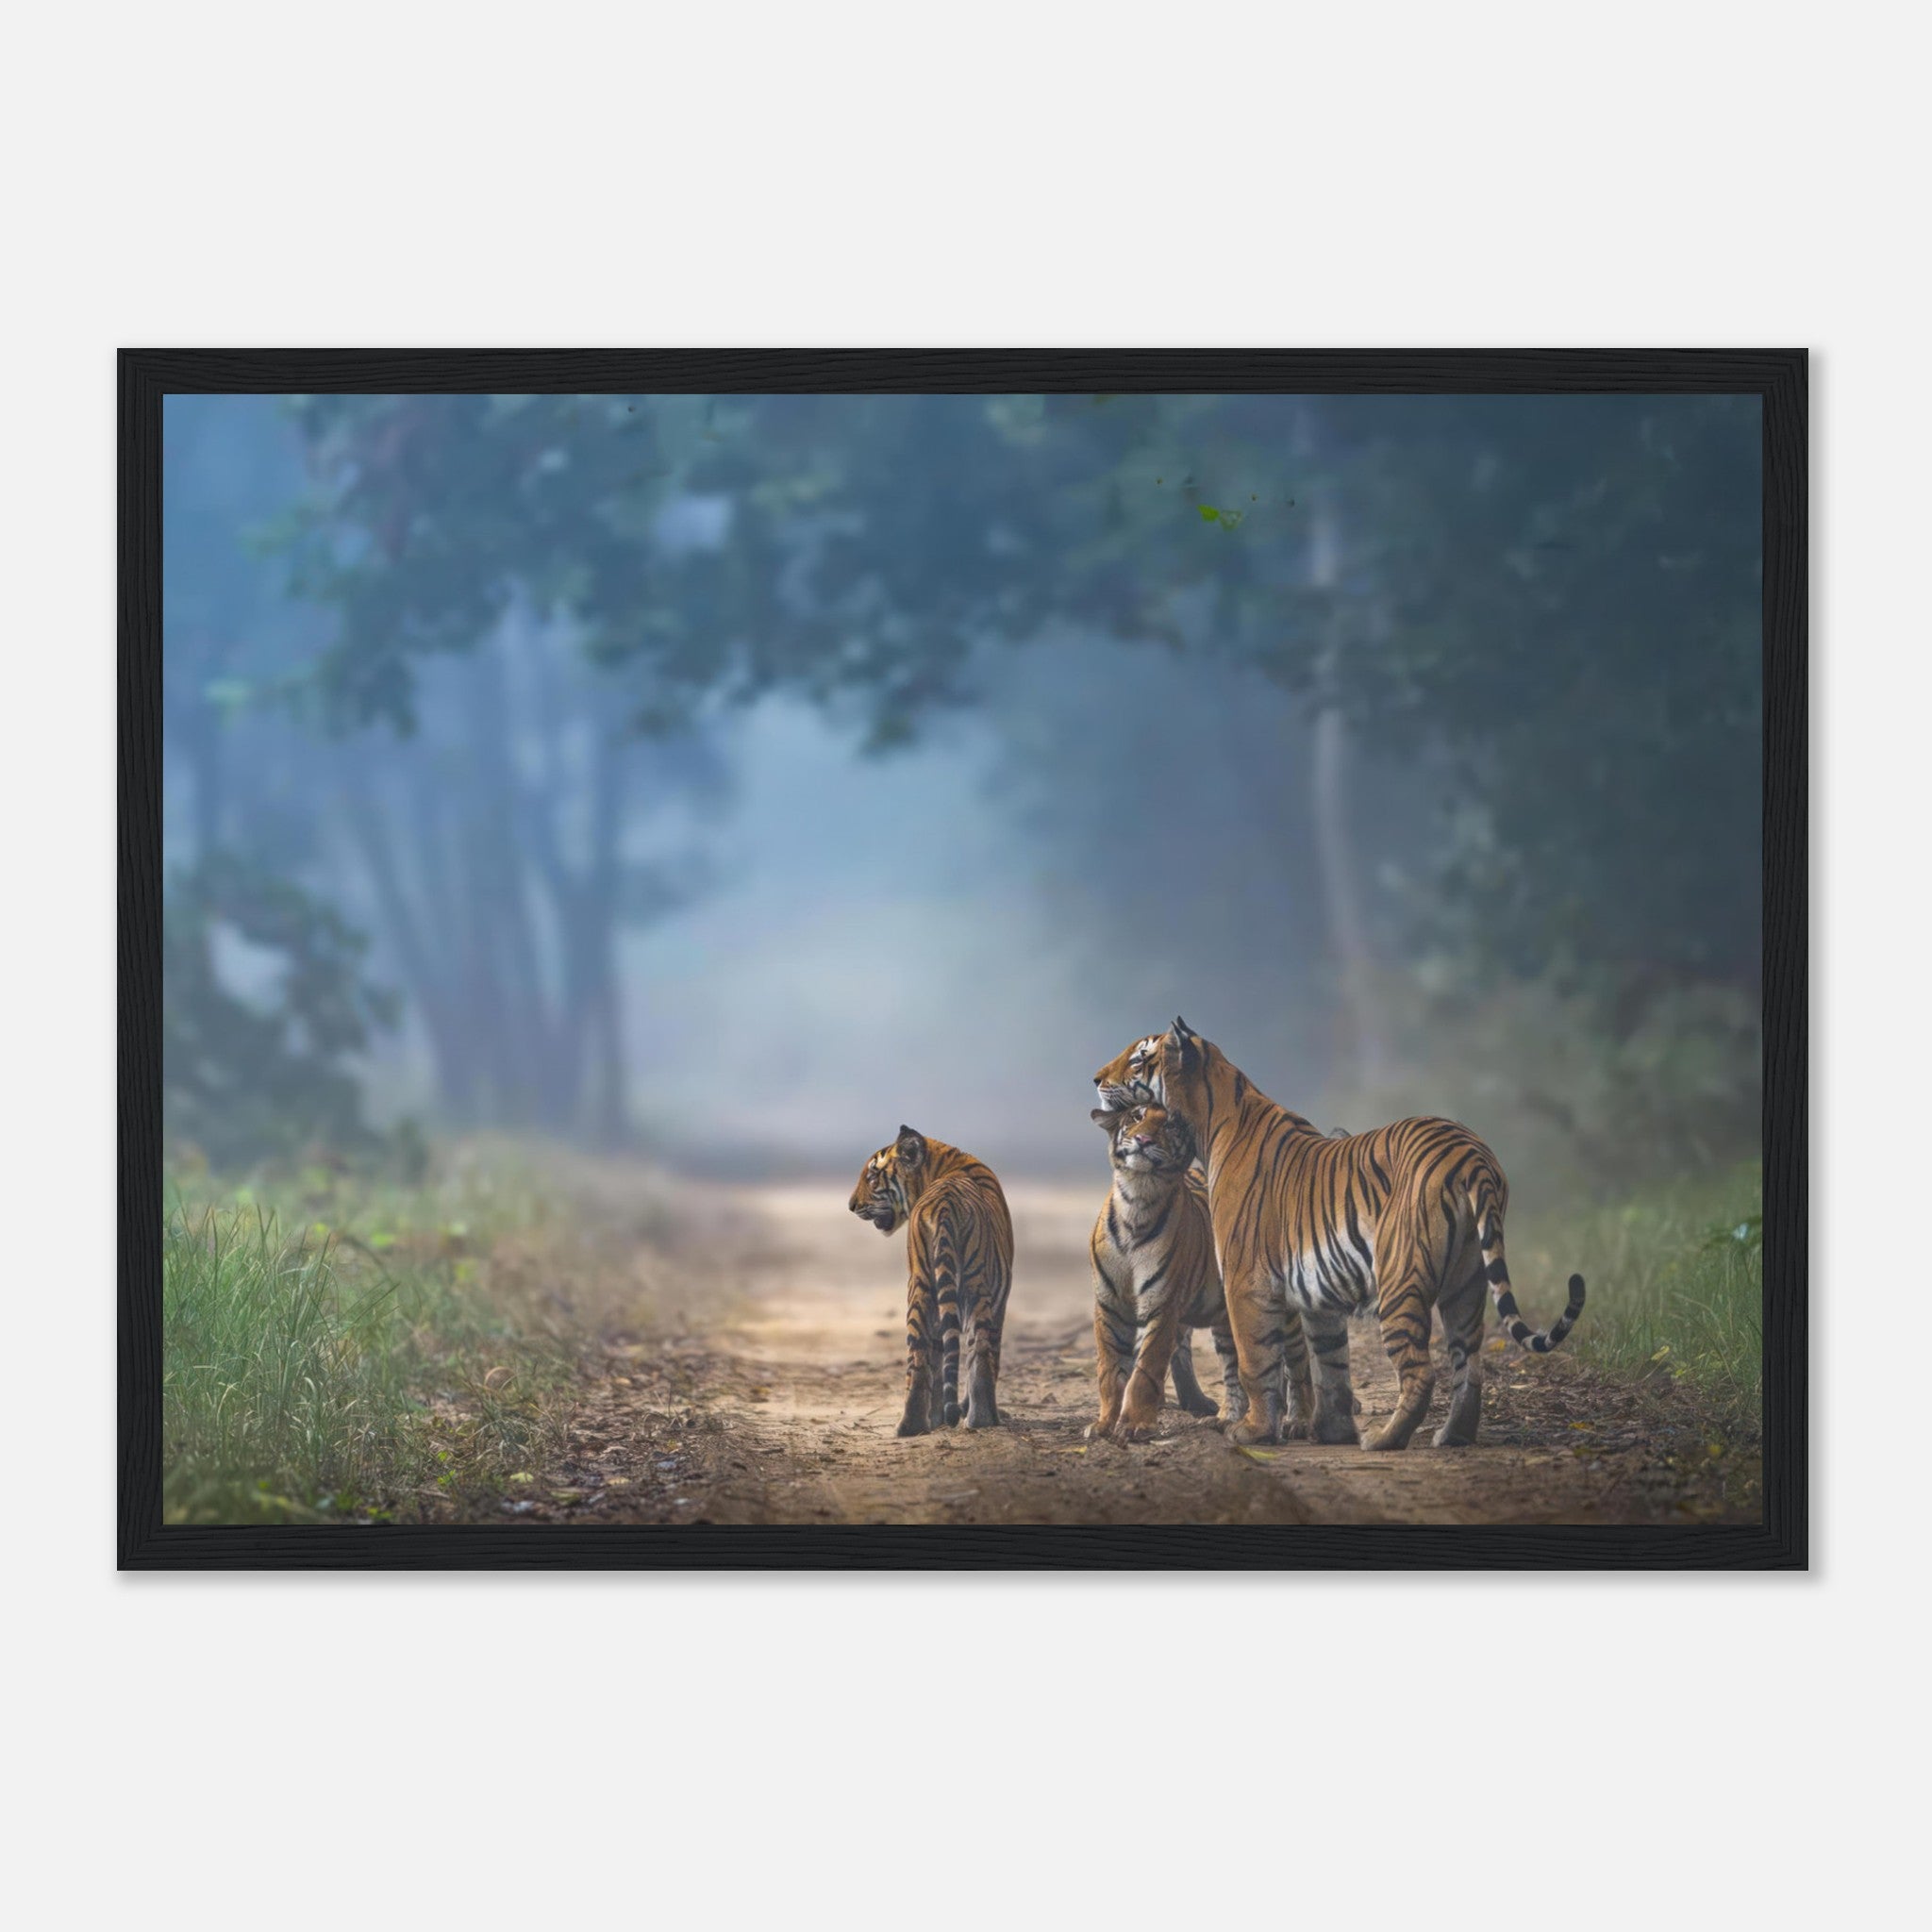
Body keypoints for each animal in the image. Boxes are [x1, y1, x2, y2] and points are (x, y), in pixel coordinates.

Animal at [848, 1125, 1014, 1437]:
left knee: (922, 1355)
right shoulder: (1000, 1300)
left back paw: (912, 1426)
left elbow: (941, 1357)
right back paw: (980, 1418)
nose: (851, 1206)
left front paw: (939, 1417)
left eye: (872, 1177)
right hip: (970, 1285)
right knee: (975, 1352)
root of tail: (945, 1204)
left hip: (923, 1286)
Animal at [1087, 1102, 1294, 1440]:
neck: (1137, 1199)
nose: (1143, 1139)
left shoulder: (1161, 1305)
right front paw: (1104, 1424)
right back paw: (1223, 1417)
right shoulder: (1109, 1305)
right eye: (1136, 1117)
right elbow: (1110, 1369)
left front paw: (1134, 1425)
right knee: (1231, 1366)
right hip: (1224, 1319)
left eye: (1170, 1126)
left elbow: (1146, 1369)